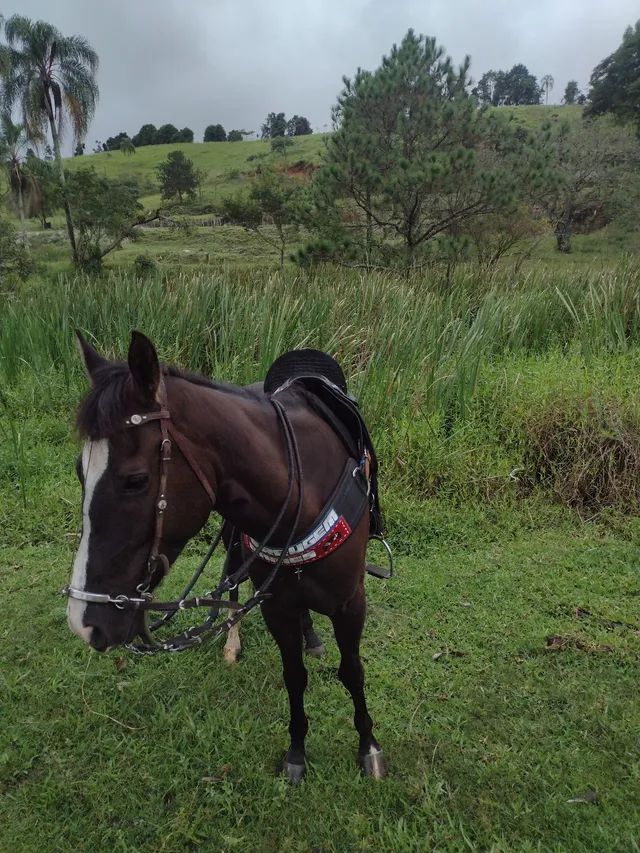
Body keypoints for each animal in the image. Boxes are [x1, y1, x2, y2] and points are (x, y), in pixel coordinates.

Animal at [66, 332, 384, 780]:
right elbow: (294, 675)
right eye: (81, 472)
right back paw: (234, 642)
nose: (83, 621)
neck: (305, 486)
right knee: (232, 585)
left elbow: (352, 671)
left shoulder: (351, 602)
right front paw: (297, 752)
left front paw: (368, 746)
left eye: (136, 480)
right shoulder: (276, 604)